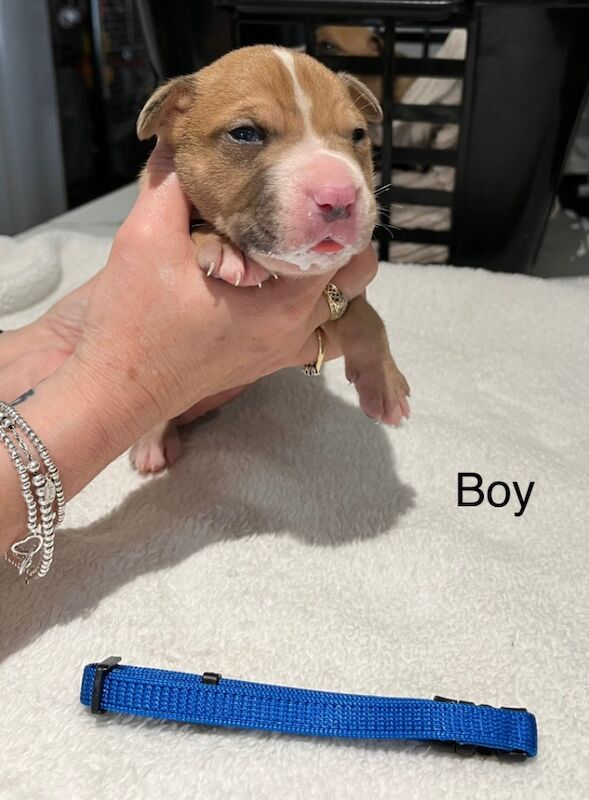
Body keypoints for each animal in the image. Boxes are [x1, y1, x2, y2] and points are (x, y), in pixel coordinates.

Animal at [130, 47, 406, 472]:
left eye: (358, 135)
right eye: (245, 134)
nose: (338, 196)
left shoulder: (342, 297)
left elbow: (369, 318)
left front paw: (386, 385)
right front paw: (222, 247)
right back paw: (151, 441)